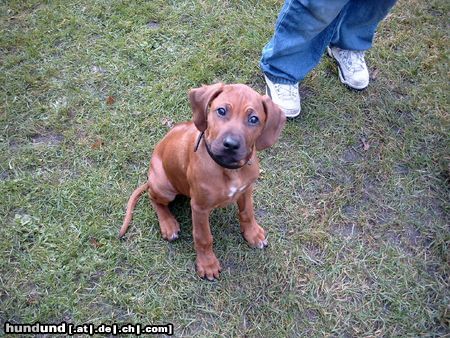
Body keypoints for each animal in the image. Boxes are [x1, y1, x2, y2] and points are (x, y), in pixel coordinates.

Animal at [119, 83, 284, 278]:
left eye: (253, 119)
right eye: (221, 111)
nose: (231, 145)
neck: (229, 169)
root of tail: (150, 177)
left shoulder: (246, 190)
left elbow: (247, 213)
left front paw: (253, 234)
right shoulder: (199, 207)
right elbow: (203, 237)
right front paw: (208, 264)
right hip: (163, 186)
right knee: (153, 198)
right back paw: (168, 224)